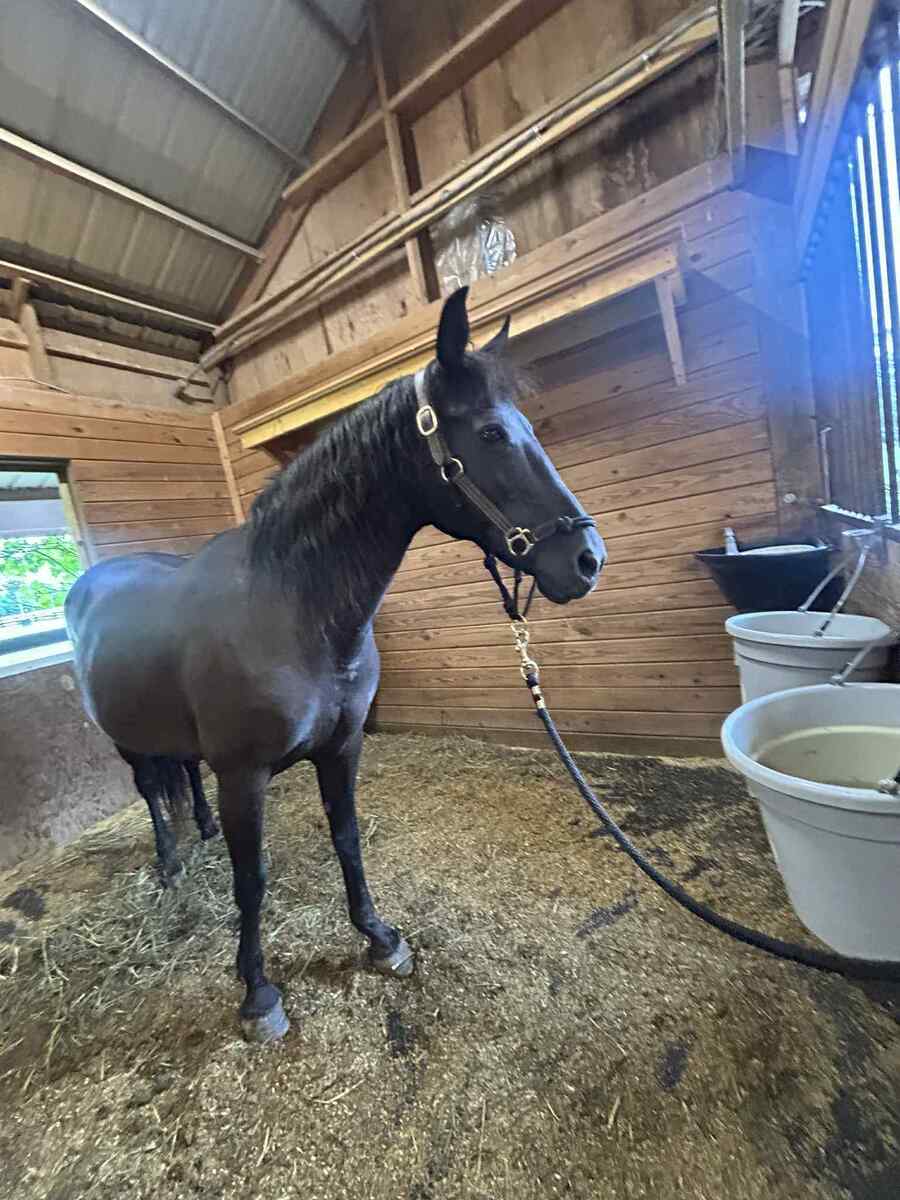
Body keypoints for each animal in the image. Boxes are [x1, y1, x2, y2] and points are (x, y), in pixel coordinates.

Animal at [65, 287, 607, 1042]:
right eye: (493, 433)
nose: (588, 561)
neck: (290, 609)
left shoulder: (342, 748)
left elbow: (347, 839)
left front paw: (380, 939)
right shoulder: (244, 776)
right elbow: (252, 879)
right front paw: (258, 992)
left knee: (183, 779)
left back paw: (199, 831)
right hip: (126, 741)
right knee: (150, 790)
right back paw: (171, 863)